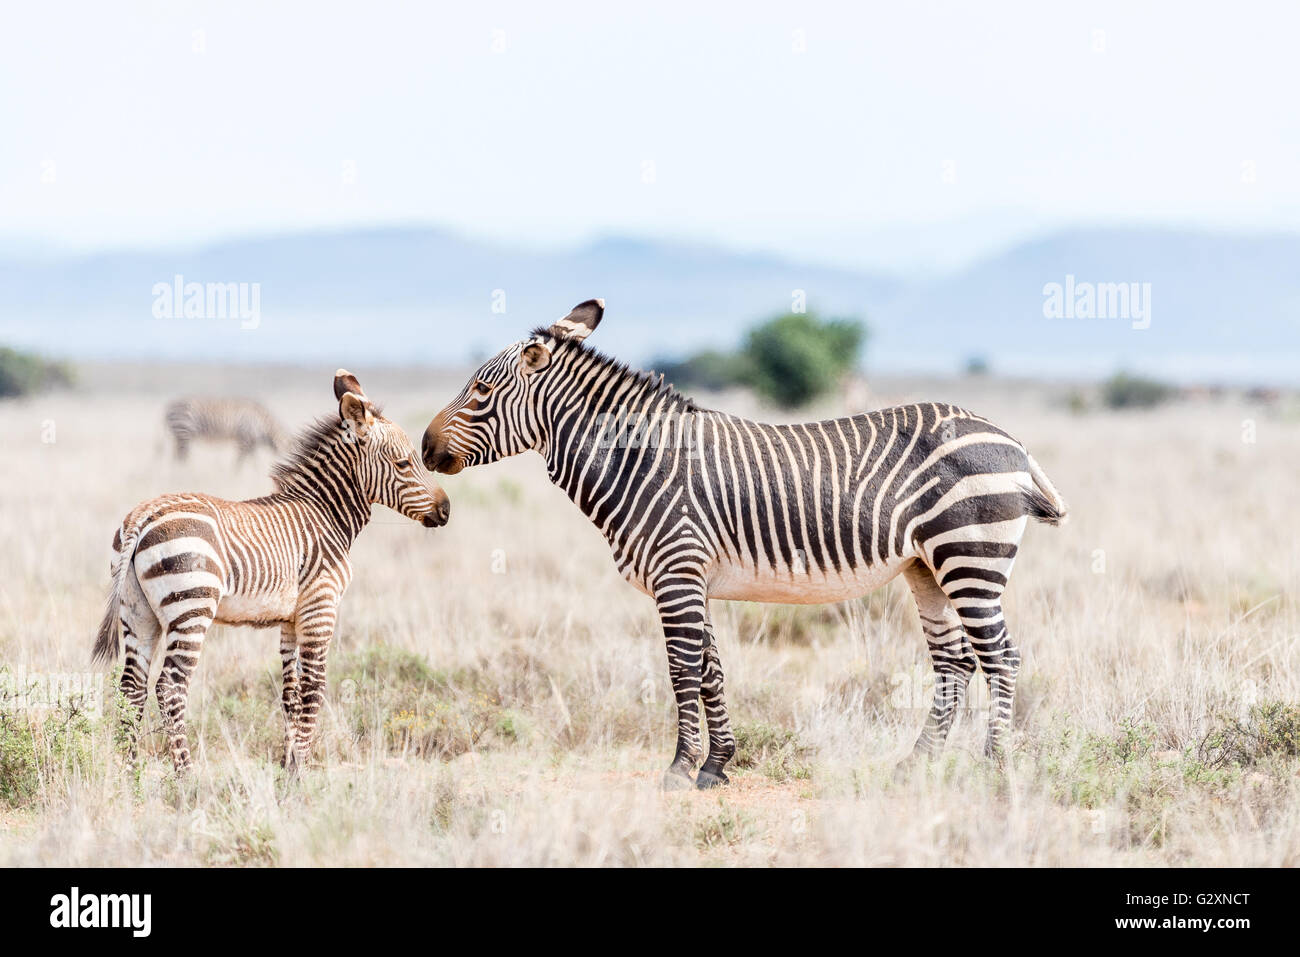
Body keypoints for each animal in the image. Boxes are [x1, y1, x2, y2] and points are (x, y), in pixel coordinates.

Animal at [96, 369, 452, 774]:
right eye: (405, 463)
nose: (446, 510)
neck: (325, 514)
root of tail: (143, 516)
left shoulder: (290, 620)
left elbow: (290, 694)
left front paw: (288, 763)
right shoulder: (320, 608)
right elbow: (314, 690)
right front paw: (302, 771)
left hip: (137, 611)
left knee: (131, 688)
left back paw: (130, 774)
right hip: (191, 607)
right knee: (169, 686)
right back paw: (186, 776)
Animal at [426, 302, 1066, 790]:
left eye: (479, 391)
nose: (427, 450)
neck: (638, 462)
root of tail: (1010, 438)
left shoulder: (677, 571)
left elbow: (682, 668)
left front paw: (679, 769)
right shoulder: (692, 578)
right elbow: (711, 668)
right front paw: (716, 766)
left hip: (969, 557)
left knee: (1000, 657)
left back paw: (995, 766)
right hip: (925, 567)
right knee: (954, 661)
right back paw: (917, 763)